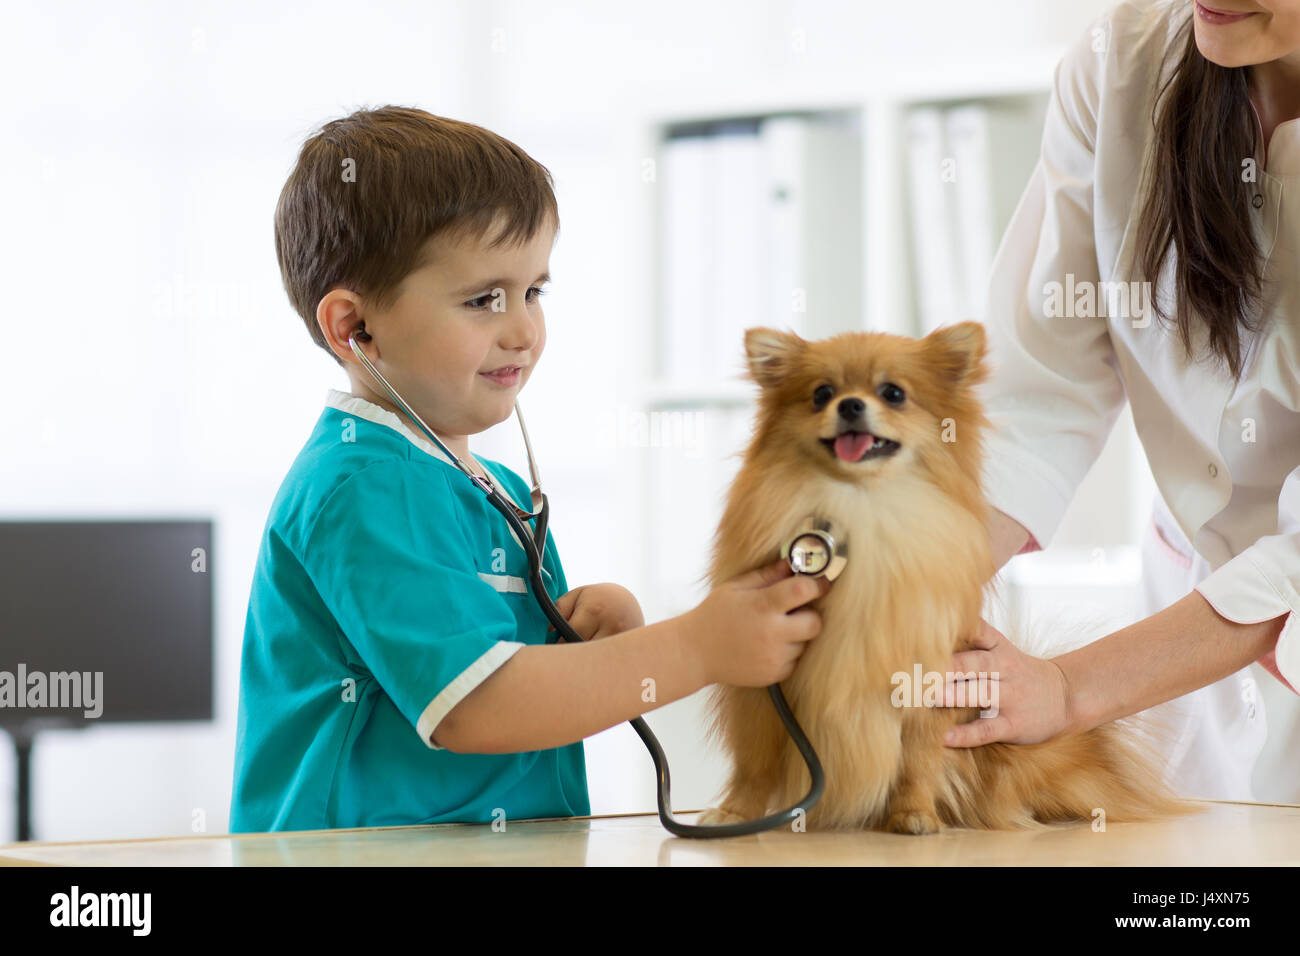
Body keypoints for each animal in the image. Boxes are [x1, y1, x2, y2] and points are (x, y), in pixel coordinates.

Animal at [702, 321, 1196, 832]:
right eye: (821, 394)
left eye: (893, 393)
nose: (850, 405)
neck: (863, 506)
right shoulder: (760, 697)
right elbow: (753, 766)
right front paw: (735, 812)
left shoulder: (930, 685)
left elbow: (917, 761)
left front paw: (914, 813)